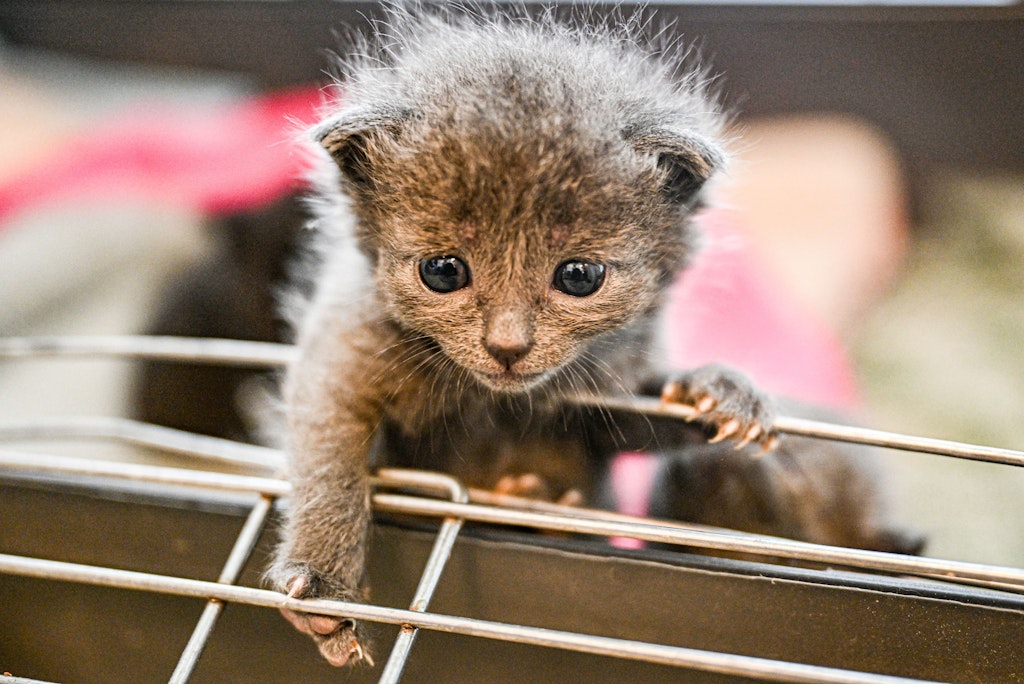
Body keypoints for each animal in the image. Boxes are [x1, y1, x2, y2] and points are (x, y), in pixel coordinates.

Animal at [268, 5, 917, 667]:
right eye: (443, 271)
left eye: (579, 276)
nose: (507, 346)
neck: (496, 405)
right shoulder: (341, 356)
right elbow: (326, 461)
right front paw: (322, 585)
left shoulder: (612, 382)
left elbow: (639, 419)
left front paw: (715, 391)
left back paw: (540, 507)